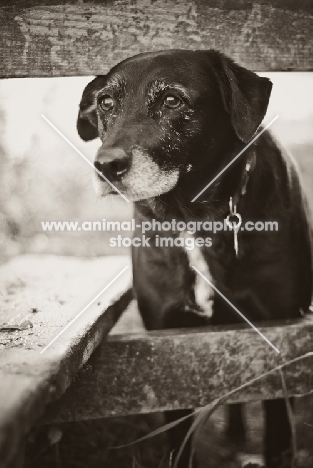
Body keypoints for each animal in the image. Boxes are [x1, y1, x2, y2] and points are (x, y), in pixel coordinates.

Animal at [76, 48, 312, 468]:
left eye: (172, 100)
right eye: (106, 102)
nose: (105, 166)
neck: (192, 217)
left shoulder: (280, 337)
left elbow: (278, 432)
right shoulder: (168, 342)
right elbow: (177, 438)